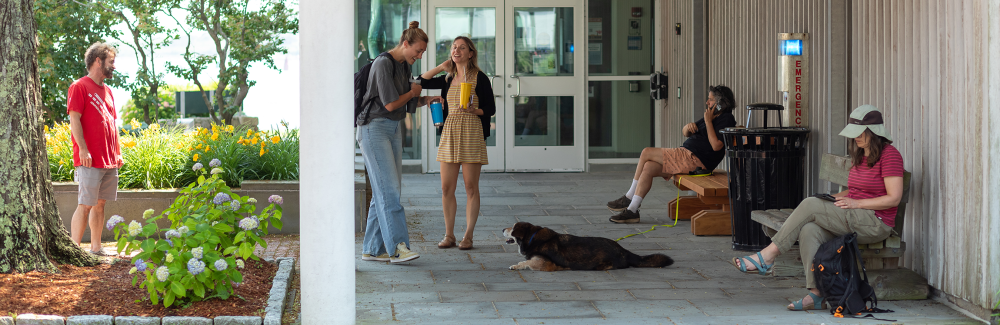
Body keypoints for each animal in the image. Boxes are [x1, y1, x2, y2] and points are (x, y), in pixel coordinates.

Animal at [500, 220, 672, 270]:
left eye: (512, 228)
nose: (502, 229)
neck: (533, 238)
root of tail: (625, 251)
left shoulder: (543, 263)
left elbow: (526, 262)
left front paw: (516, 266)